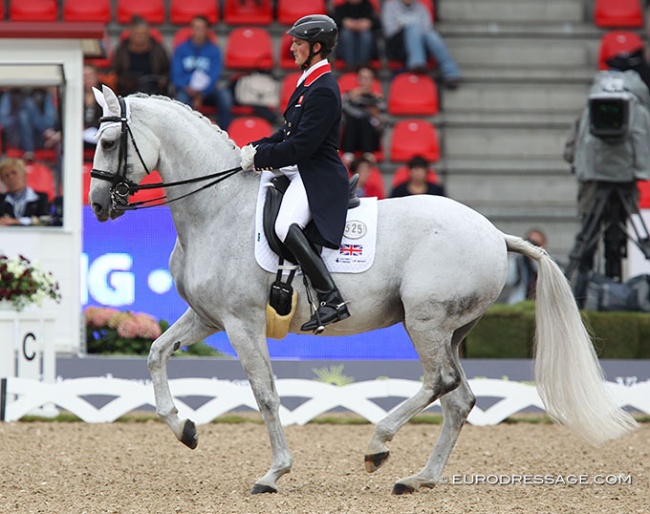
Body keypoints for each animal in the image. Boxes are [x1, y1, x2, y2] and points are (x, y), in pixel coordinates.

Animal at [88, 86, 636, 494]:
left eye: (110, 141)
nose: (96, 205)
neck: (217, 209)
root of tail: (494, 232)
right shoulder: (207, 317)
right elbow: (156, 354)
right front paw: (184, 429)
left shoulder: (242, 323)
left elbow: (265, 394)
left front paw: (273, 473)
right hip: (451, 330)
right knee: (459, 399)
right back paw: (419, 479)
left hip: (424, 320)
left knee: (440, 382)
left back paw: (379, 445)